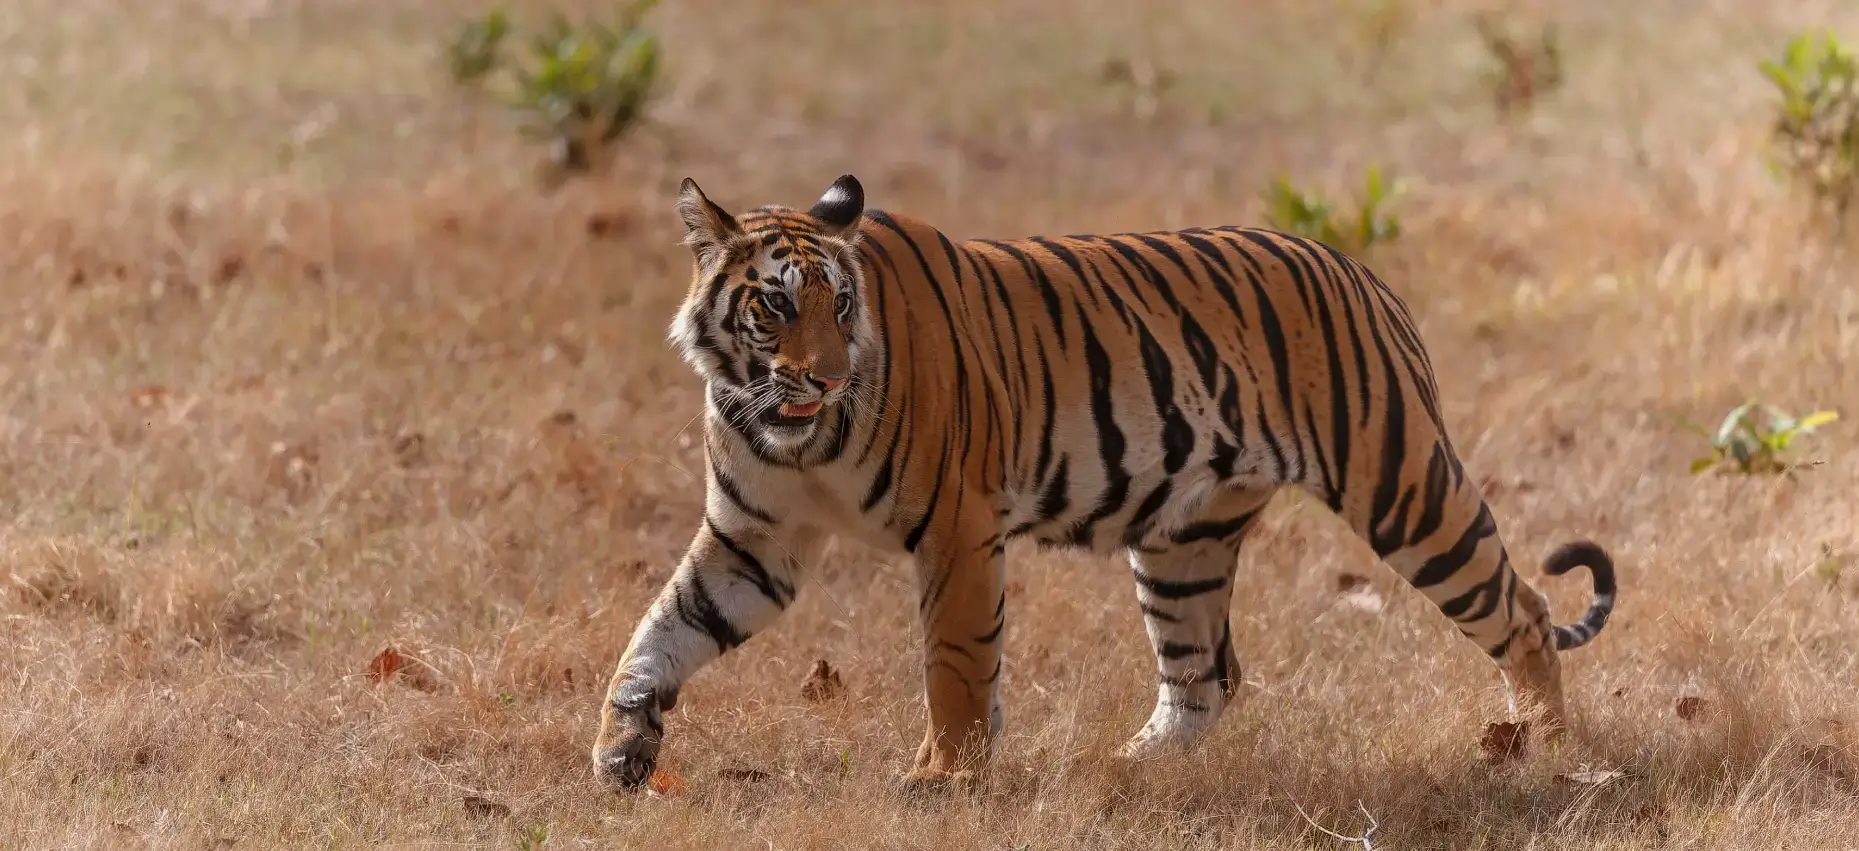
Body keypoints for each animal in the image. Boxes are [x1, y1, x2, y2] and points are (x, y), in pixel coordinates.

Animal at [591, 172, 1613, 791]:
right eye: (773, 306)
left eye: (840, 306)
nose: (830, 377)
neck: (793, 435)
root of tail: (1361, 271)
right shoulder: (752, 541)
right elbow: (662, 630)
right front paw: (619, 746)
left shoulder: (957, 526)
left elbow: (953, 664)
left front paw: (943, 780)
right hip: (1182, 542)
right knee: (1204, 678)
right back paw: (1127, 768)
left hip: (1402, 486)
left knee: (1522, 610)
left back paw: (1554, 756)